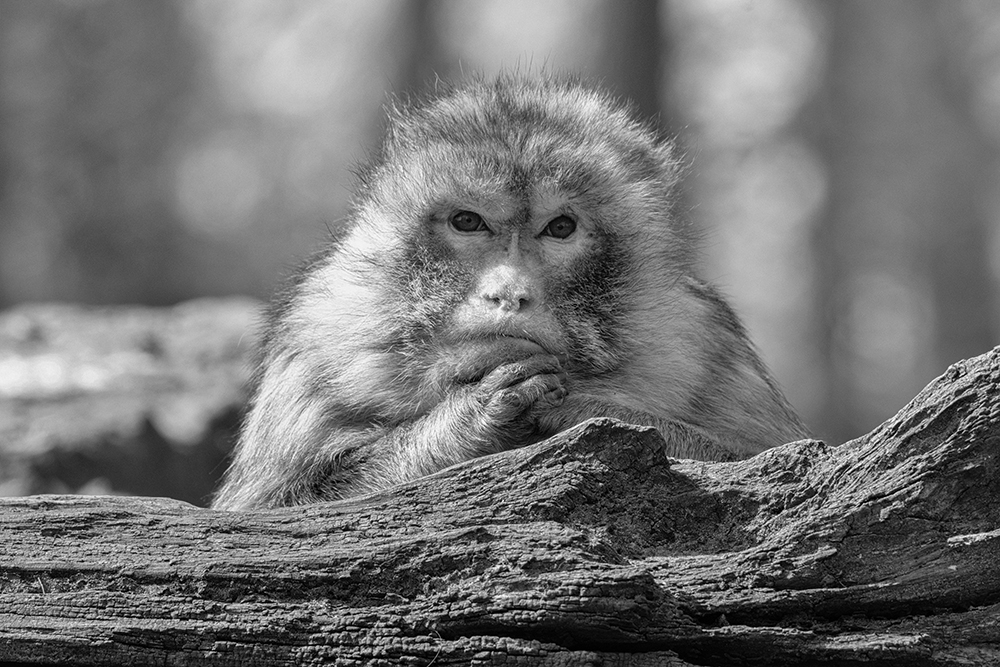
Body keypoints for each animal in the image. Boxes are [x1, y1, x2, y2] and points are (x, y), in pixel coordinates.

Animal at [213, 73, 812, 512]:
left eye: (560, 228)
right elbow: (260, 511)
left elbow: (785, 459)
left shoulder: (705, 335)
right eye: (468, 222)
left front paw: (589, 411)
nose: (509, 294)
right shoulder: (315, 338)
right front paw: (466, 422)